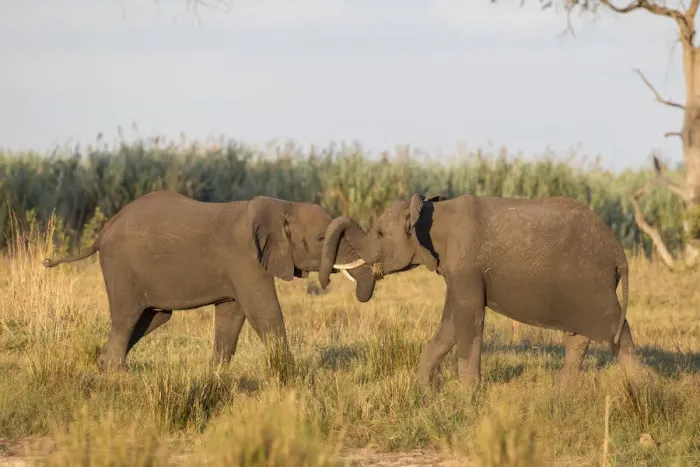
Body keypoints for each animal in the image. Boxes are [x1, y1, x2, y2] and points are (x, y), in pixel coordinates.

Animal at [42, 190, 376, 371]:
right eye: (320, 238)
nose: (325, 281)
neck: (283, 205)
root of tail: (102, 233)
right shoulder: (244, 257)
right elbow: (264, 309)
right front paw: (289, 373)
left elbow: (232, 314)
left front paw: (217, 374)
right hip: (121, 267)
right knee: (126, 317)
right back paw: (118, 373)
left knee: (152, 317)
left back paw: (104, 365)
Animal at [320, 193, 651, 386]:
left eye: (379, 233)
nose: (324, 282)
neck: (431, 210)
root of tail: (618, 252)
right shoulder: (456, 269)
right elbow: (451, 323)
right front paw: (424, 390)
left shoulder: (466, 265)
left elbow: (469, 318)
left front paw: (467, 398)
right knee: (580, 337)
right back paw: (563, 395)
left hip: (592, 282)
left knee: (617, 333)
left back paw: (648, 391)